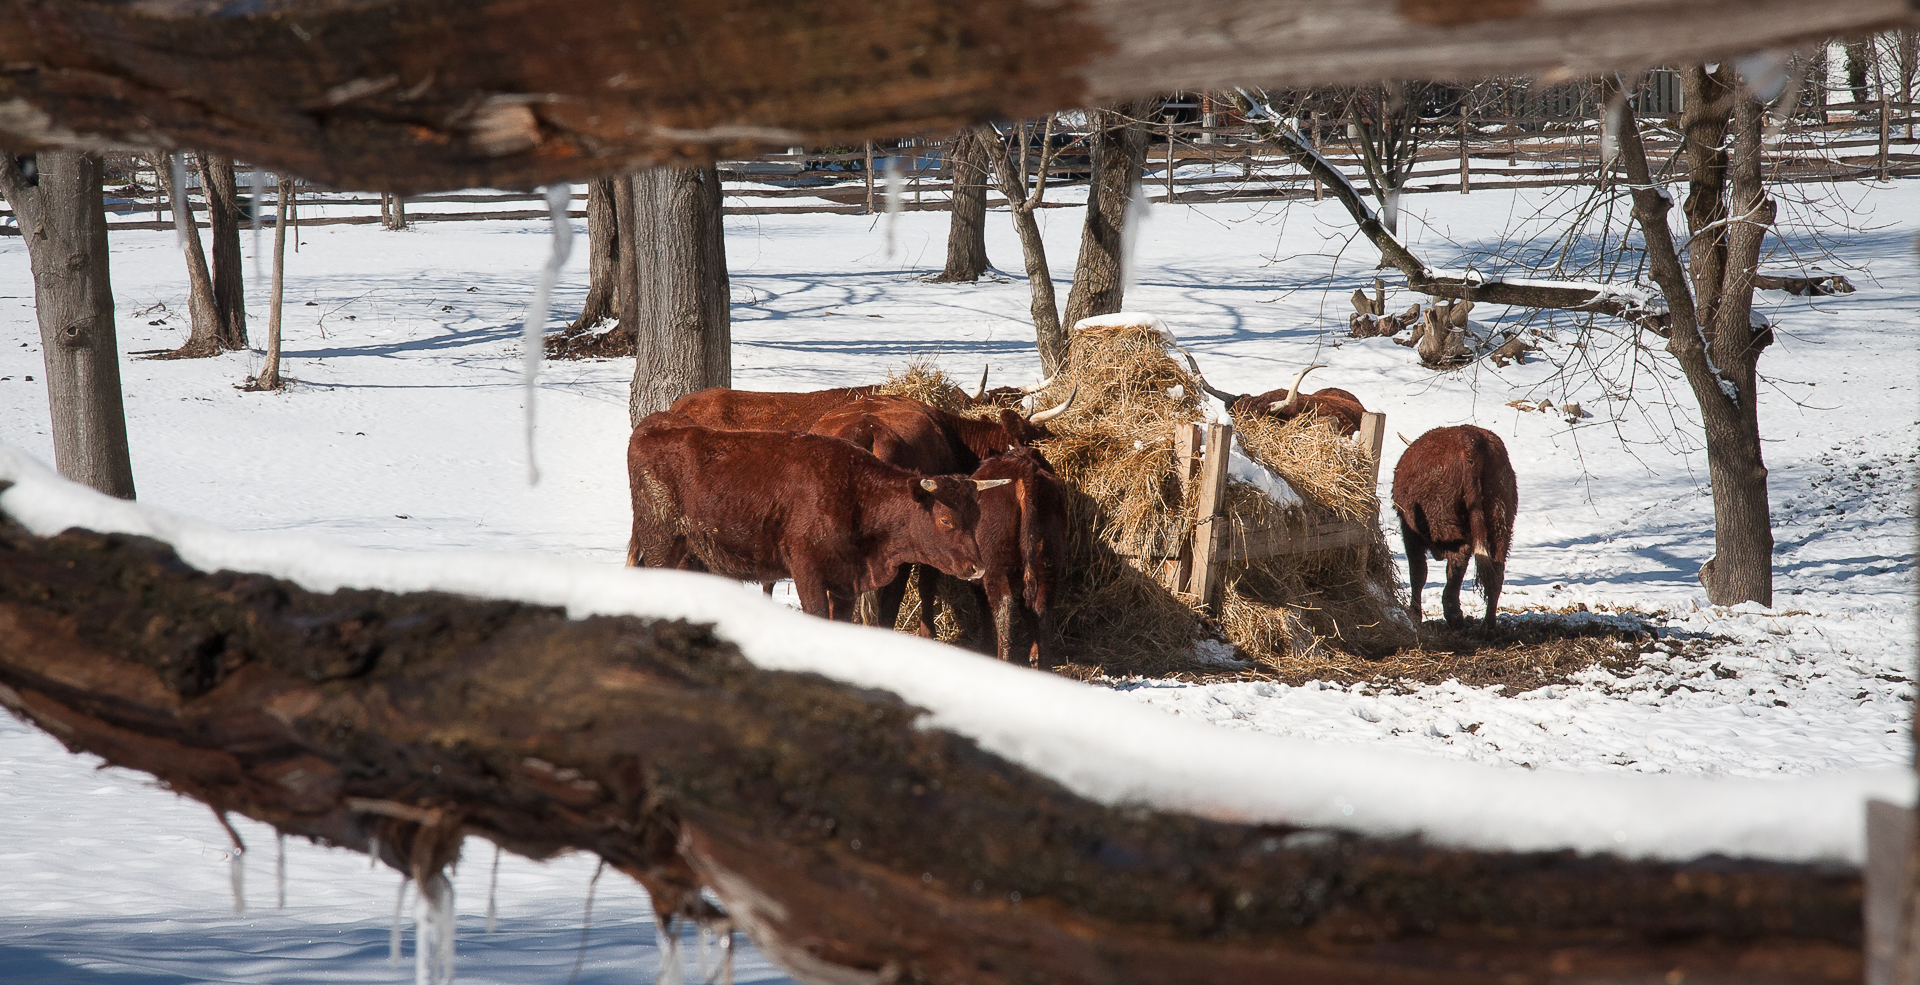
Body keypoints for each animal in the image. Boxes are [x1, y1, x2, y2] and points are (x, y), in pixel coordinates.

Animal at [624, 414, 1008, 619]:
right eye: (945, 520)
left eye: (976, 517)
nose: (977, 567)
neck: (855, 494)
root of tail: (653, 424)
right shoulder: (807, 570)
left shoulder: (847, 583)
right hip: (661, 543)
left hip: (688, 551)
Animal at [968, 447, 1068, 668]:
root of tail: (1023, 469)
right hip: (1048, 562)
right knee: (1041, 609)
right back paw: (1042, 665)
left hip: (994, 565)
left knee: (1004, 606)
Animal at [1390, 425, 1517, 636]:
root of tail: (1469, 438)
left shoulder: (1409, 534)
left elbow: (1418, 573)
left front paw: (1415, 615)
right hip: (1501, 521)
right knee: (1496, 573)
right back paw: (1487, 626)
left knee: (1457, 561)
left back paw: (1455, 616)